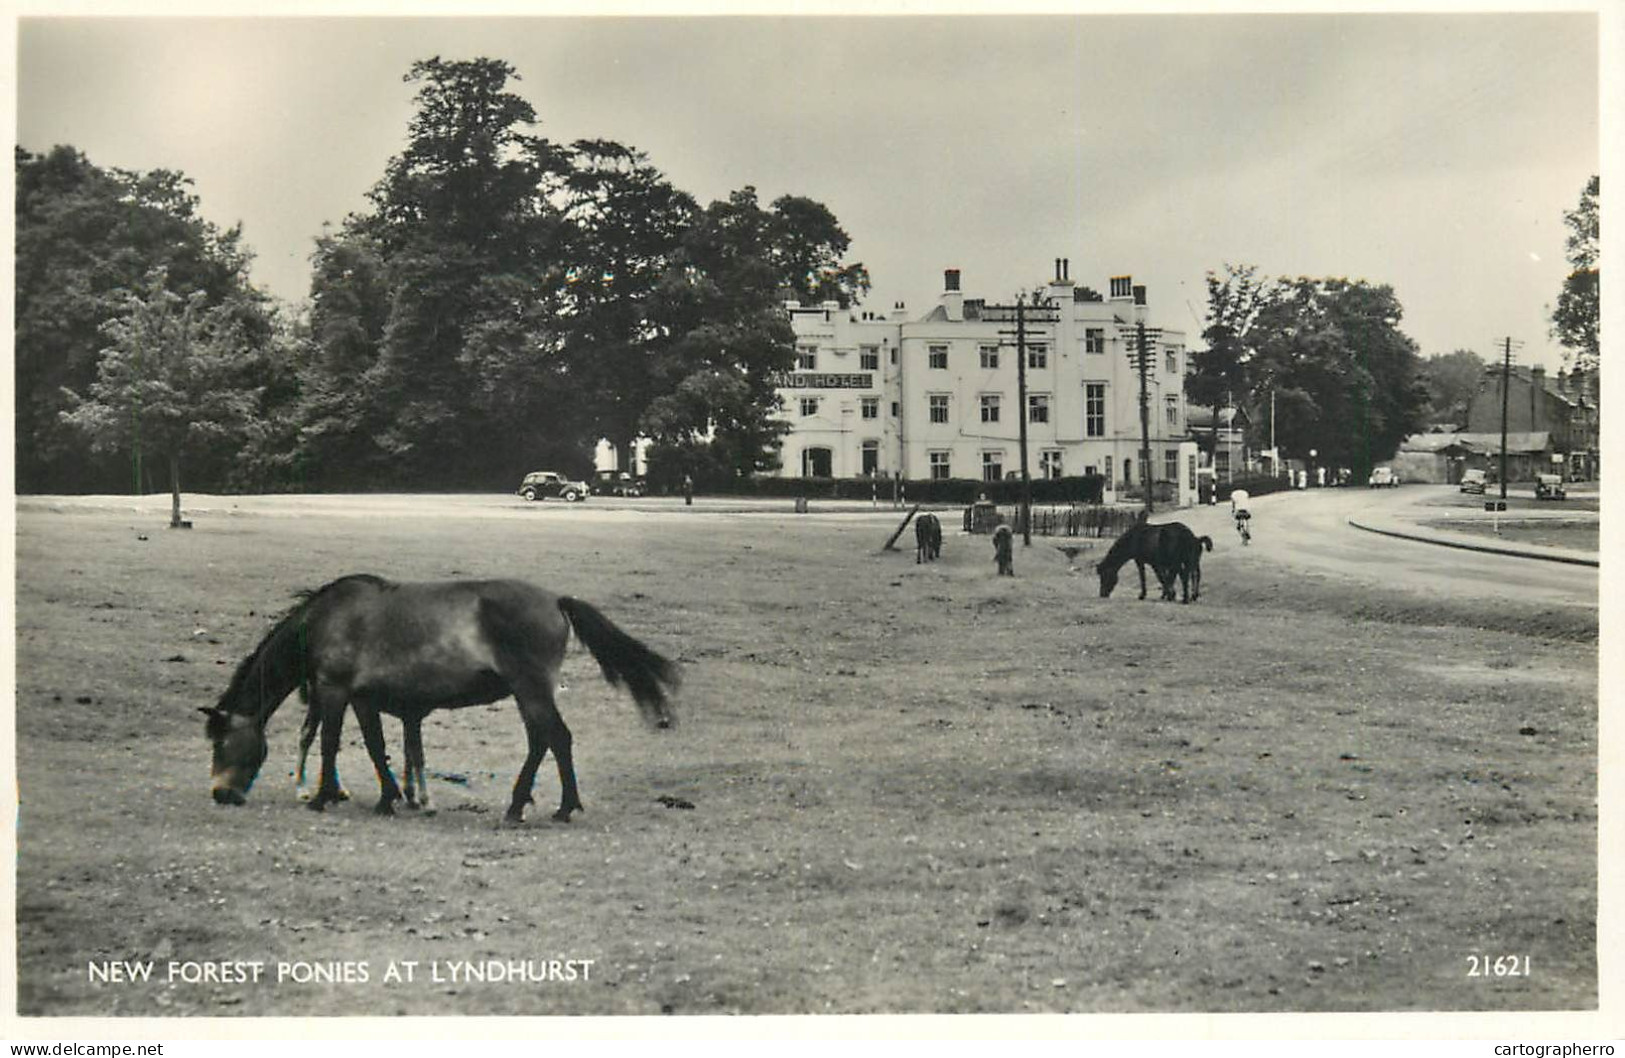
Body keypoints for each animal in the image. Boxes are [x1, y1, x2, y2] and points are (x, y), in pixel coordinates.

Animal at [204, 572, 679, 828]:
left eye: (221, 743)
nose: (220, 794)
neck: (328, 619)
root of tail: (556, 600)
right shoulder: (363, 699)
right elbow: (377, 747)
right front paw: (389, 798)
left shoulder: (336, 691)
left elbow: (330, 742)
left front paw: (322, 798)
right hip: (529, 693)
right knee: (547, 741)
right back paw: (543, 805)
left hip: (530, 689)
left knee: (553, 739)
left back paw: (538, 807)